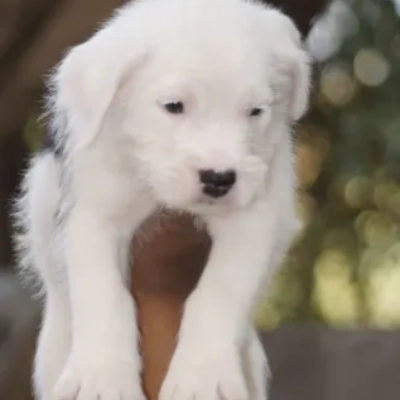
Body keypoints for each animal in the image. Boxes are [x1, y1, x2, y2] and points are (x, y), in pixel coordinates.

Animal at [12, 0, 310, 400]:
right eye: (173, 106)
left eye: (255, 111)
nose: (219, 179)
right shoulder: (93, 215)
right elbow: (104, 293)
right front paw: (102, 377)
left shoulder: (255, 217)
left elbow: (220, 291)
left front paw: (203, 375)